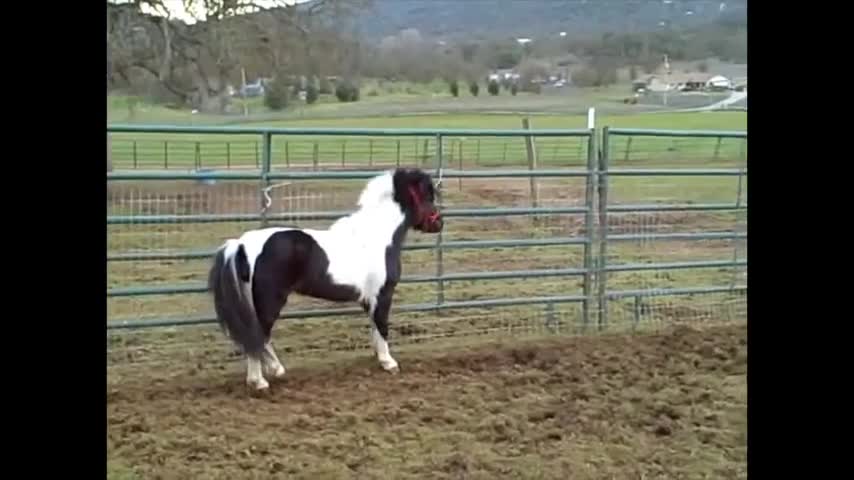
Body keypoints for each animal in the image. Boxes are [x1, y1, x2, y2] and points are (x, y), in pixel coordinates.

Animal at [208, 168, 444, 390]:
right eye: (428, 196)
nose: (439, 223)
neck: (377, 237)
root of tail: (241, 244)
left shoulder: (368, 299)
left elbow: (374, 328)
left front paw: (379, 358)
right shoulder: (383, 294)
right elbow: (382, 326)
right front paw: (389, 363)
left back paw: (272, 372)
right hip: (269, 302)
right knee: (258, 337)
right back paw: (260, 380)